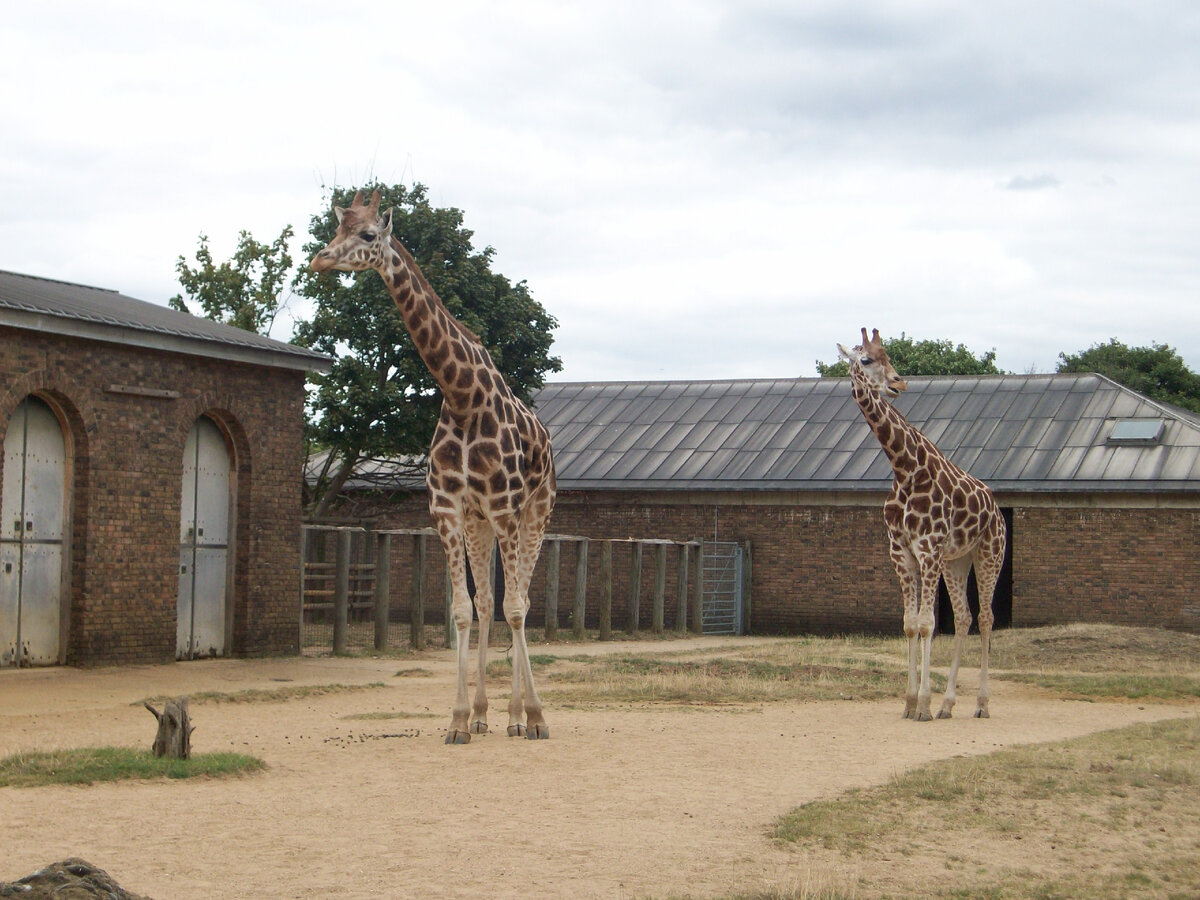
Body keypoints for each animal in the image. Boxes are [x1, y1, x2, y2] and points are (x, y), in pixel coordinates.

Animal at [307, 190, 554, 748]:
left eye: (368, 234)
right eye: (336, 229)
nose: (320, 260)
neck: (462, 396)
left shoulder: (505, 508)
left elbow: (516, 608)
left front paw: (534, 716)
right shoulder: (447, 509)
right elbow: (463, 609)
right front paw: (459, 720)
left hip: (535, 513)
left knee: (523, 599)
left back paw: (523, 716)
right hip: (480, 524)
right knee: (488, 603)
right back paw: (489, 715)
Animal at [840, 328, 1008, 724]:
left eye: (888, 356)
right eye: (865, 359)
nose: (899, 382)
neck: (905, 469)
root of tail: (997, 508)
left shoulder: (928, 549)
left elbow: (928, 623)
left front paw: (924, 705)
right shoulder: (901, 553)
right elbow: (910, 623)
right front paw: (910, 702)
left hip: (990, 554)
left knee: (987, 617)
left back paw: (981, 704)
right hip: (956, 561)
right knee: (963, 617)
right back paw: (949, 704)